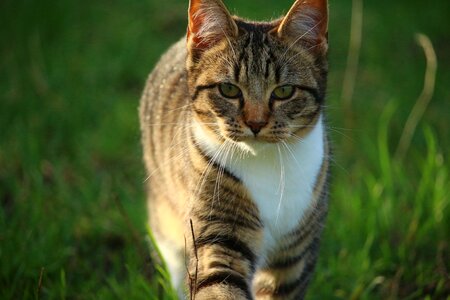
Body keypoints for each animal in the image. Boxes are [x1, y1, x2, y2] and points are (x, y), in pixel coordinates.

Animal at [141, 0, 330, 298]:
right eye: (229, 89)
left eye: (284, 91)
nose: (256, 122)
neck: (266, 163)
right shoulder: (216, 227)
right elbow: (217, 278)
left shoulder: (296, 253)